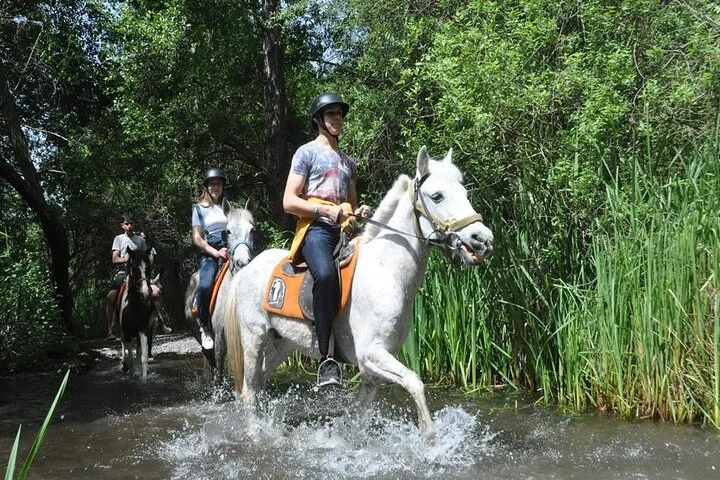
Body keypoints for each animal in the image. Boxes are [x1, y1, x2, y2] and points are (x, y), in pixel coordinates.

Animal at [118, 246, 154, 380]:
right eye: (133, 266)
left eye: (148, 266)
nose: (145, 294)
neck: (133, 306)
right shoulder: (127, 332)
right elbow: (130, 356)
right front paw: (131, 373)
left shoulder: (143, 329)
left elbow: (142, 355)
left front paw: (143, 377)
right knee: (123, 344)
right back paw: (124, 366)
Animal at [183, 201, 255, 386]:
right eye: (227, 231)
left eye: (252, 229)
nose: (242, 262)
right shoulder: (221, 337)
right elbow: (219, 368)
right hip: (198, 332)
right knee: (210, 358)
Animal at [224, 146, 494, 442]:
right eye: (437, 196)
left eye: (465, 192)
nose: (483, 240)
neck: (386, 271)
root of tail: (247, 268)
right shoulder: (371, 354)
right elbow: (415, 382)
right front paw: (430, 437)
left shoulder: (373, 368)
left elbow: (359, 413)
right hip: (254, 338)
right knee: (249, 390)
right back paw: (256, 435)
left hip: (280, 343)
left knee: (259, 384)